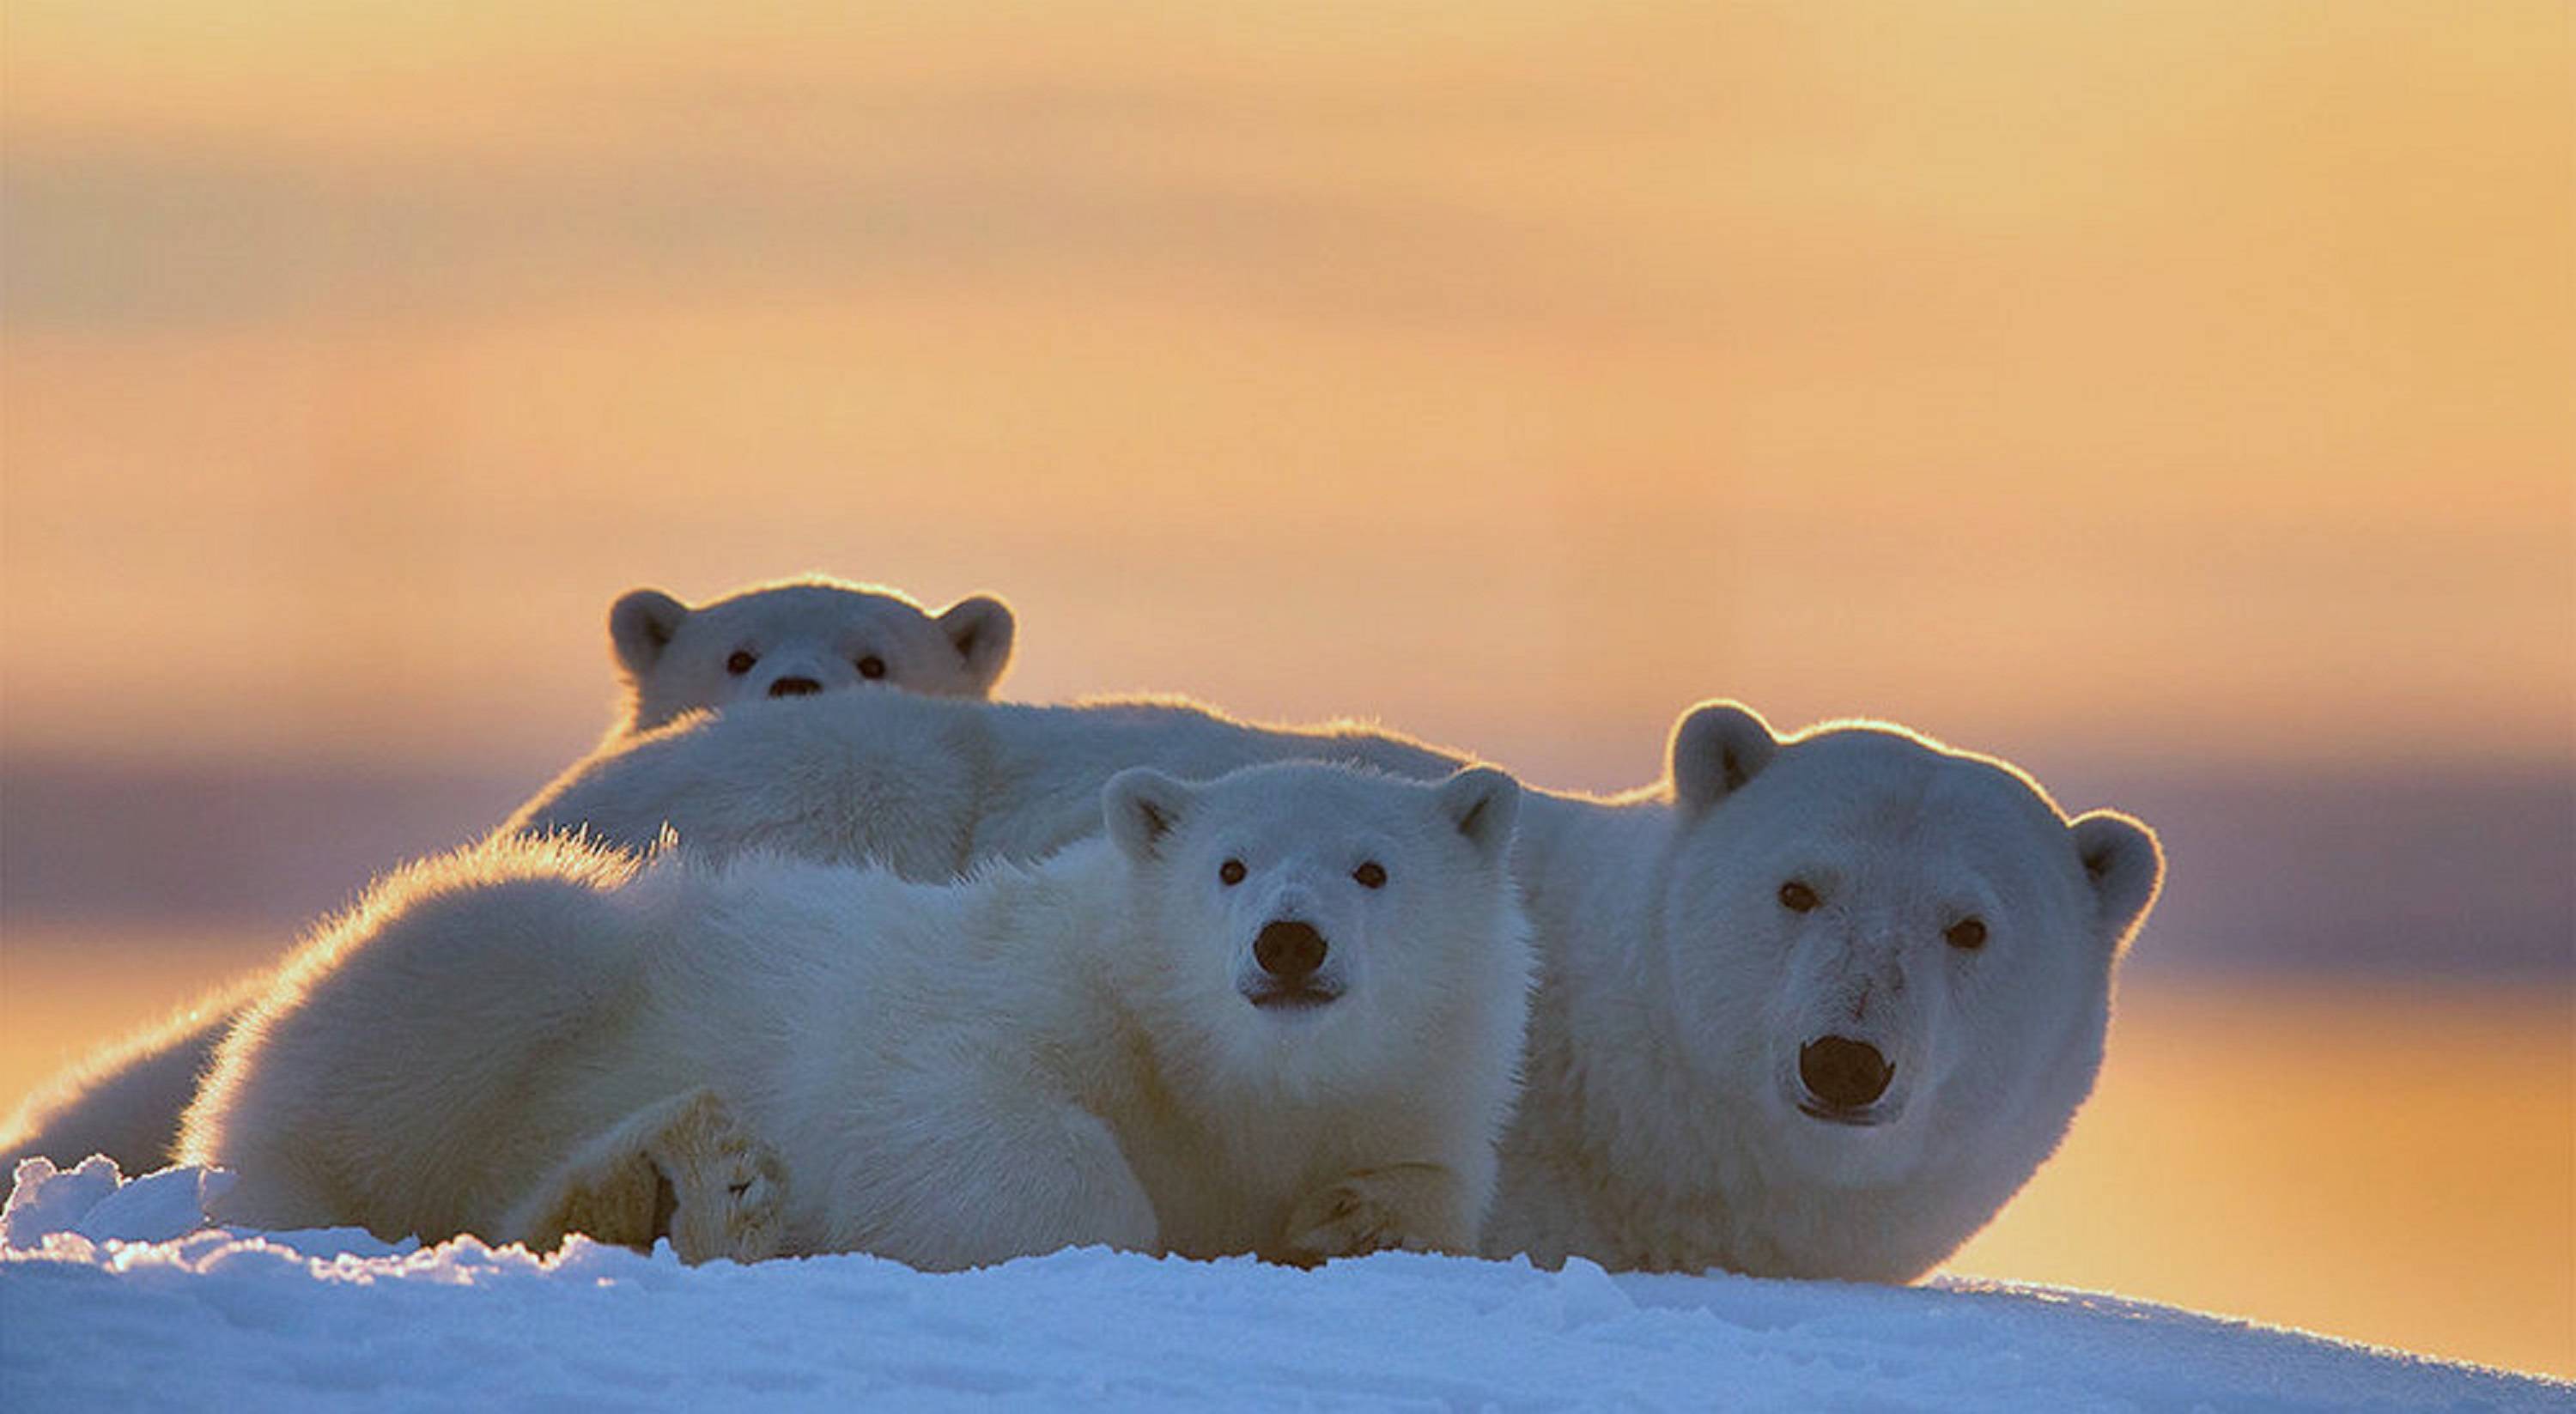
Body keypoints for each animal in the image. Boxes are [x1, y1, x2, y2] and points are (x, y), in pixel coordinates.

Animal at [201, 762, 1535, 1267]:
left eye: (1372, 868)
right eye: (1231, 865)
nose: (1289, 941)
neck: (1221, 1082)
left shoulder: (1420, 1083)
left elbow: (1432, 1192)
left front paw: (1346, 1218)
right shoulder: (1026, 991)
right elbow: (943, 1114)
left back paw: (684, 1189)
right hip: (500, 962)